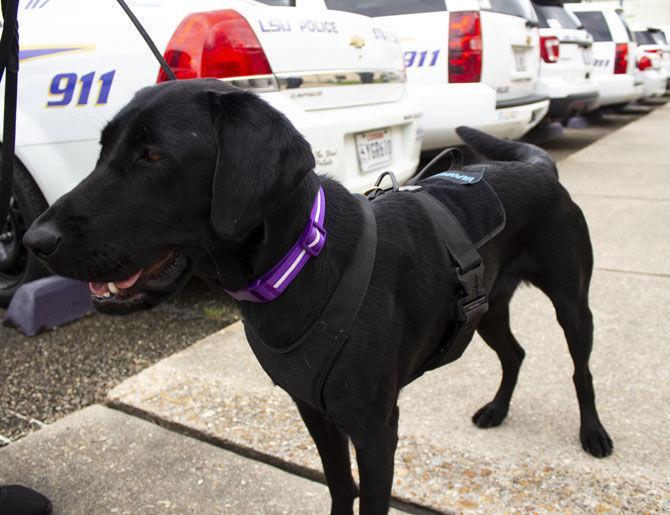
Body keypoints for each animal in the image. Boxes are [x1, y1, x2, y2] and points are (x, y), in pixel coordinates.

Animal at [23, 78, 616, 512]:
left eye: (153, 156)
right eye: (102, 151)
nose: (34, 241)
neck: (299, 264)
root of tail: (539, 166)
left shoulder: (376, 431)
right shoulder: (313, 410)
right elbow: (338, 486)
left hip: (572, 305)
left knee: (581, 369)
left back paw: (594, 434)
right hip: (483, 308)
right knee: (514, 353)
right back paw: (496, 409)